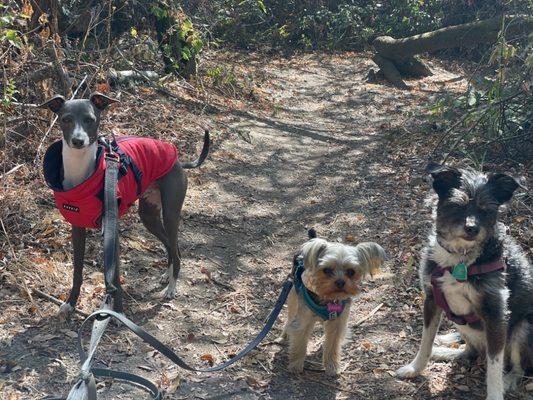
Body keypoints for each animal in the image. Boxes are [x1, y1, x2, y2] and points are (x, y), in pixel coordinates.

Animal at [396, 164, 528, 400]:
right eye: (457, 205)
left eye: (486, 209)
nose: (472, 228)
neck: (460, 258)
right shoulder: (431, 298)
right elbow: (425, 341)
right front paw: (416, 367)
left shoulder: (496, 315)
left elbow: (494, 366)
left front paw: (496, 394)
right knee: (470, 351)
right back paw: (446, 351)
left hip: (524, 327)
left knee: (519, 368)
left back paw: (509, 380)